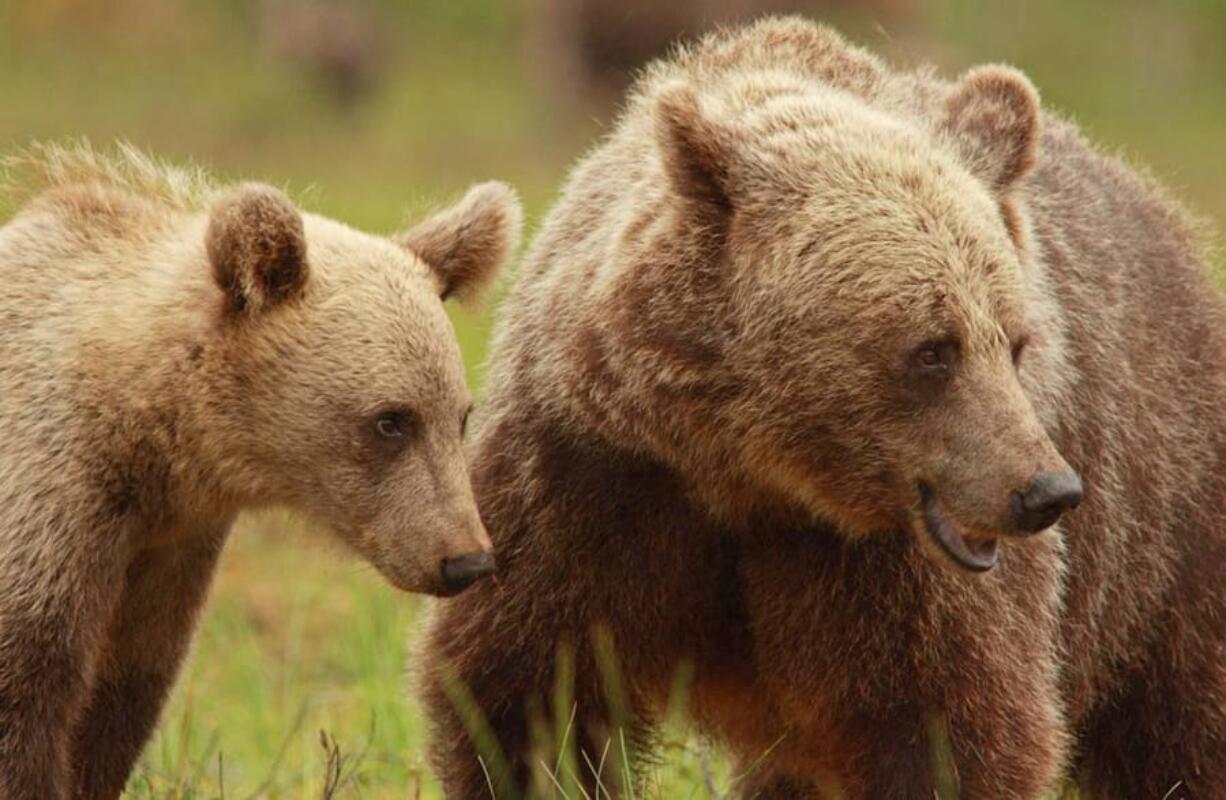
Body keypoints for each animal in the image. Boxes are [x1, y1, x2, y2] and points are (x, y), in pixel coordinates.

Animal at [0, 143, 522, 798]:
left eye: (460, 415)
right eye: (391, 420)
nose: (467, 559)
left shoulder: (167, 549)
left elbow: (121, 695)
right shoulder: (51, 490)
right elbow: (29, 686)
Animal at [421, 14, 1226, 798]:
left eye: (1017, 342)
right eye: (934, 350)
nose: (1046, 491)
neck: (749, 471)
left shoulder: (892, 579)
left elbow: (945, 725)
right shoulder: (591, 483)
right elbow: (528, 690)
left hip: (1164, 521)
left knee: (1181, 719)